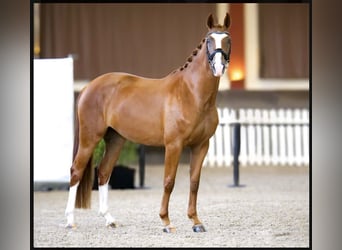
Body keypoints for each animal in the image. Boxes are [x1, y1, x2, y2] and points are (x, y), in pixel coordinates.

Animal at [65, 13, 231, 232]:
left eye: (228, 40)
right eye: (209, 40)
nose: (219, 67)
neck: (191, 93)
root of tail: (88, 87)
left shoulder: (201, 145)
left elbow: (194, 182)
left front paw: (196, 222)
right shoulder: (174, 145)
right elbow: (169, 181)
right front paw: (166, 221)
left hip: (115, 139)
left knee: (103, 172)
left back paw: (109, 219)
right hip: (89, 138)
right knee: (76, 171)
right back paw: (70, 221)